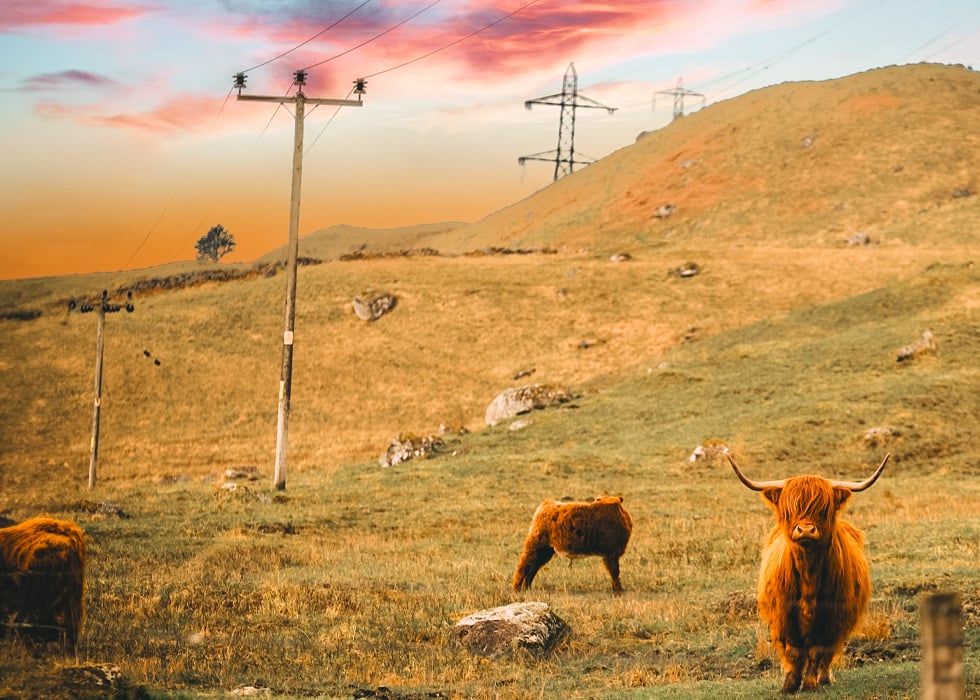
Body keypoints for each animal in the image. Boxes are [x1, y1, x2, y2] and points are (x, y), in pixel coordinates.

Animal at [728, 454, 888, 696]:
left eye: (823, 509)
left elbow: (816, 651)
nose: (805, 530)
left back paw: (824, 678)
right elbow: (794, 652)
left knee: (828, 654)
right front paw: (789, 685)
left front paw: (811, 683)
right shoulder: (783, 617)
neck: (808, 574)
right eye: (789, 509)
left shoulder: (830, 618)